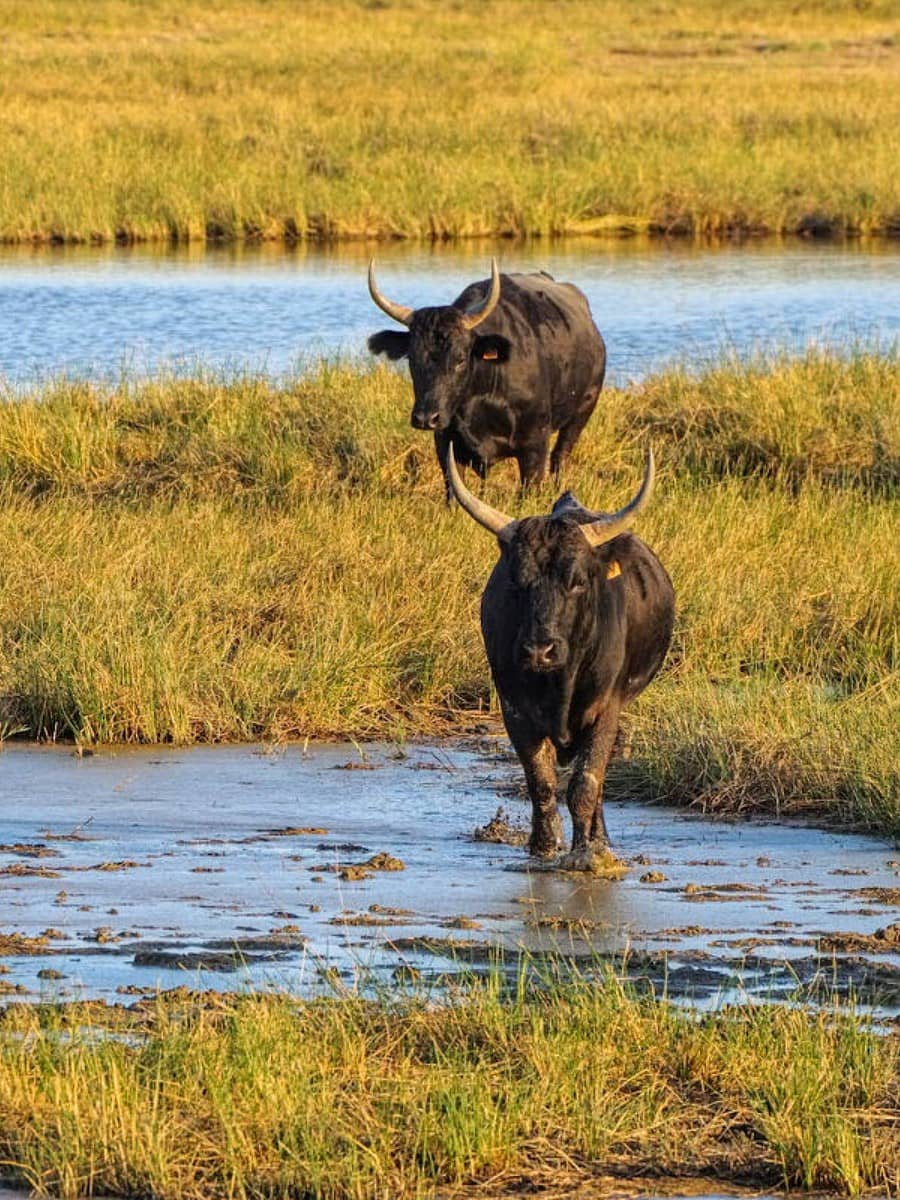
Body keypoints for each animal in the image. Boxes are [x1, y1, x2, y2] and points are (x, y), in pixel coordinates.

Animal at [367, 260, 607, 489]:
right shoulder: (445, 443)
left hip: (582, 411)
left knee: (560, 457)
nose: (426, 418)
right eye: (411, 358)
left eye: (460, 359)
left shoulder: (535, 446)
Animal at [451, 446, 676, 868]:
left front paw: (587, 852)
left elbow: (584, 785)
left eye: (577, 581)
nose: (539, 650)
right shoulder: (515, 710)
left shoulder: (606, 710)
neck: (560, 681)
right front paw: (542, 847)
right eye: (516, 581)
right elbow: (541, 782)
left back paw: (600, 839)